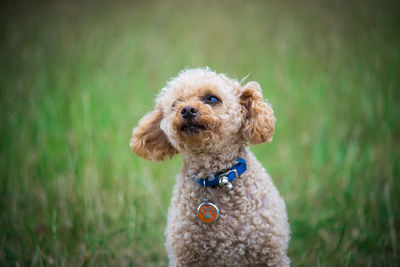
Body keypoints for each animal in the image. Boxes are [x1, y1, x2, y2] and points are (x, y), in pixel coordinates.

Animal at [131, 68, 290, 266]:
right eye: (175, 103)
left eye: (212, 98)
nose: (187, 110)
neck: (216, 178)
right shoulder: (184, 255)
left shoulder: (271, 254)